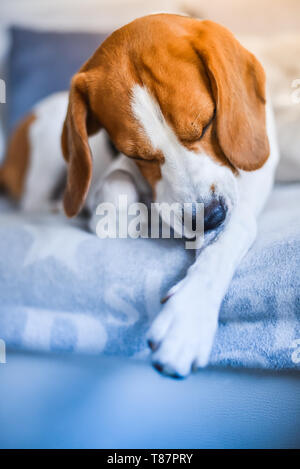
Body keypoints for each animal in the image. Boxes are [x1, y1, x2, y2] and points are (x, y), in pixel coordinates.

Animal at [1, 13, 280, 376]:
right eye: (137, 154)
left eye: (206, 124)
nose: (209, 218)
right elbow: (116, 189)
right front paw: (131, 217)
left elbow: (231, 234)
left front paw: (189, 314)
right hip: (45, 148)